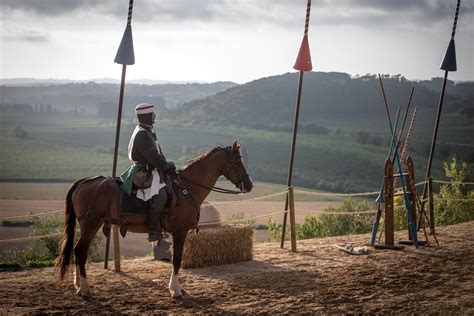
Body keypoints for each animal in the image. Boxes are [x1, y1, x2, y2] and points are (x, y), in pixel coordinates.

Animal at [56, 142, 252, 298]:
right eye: (237, 162)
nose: (249, 185)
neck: (187, 188)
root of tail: (83, 182)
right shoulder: (180, 232)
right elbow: (177, 260)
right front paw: (175, 290)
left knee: (76, 251)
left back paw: (78, 285)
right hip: (91, 225)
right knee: (80, 252)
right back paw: (85, 289)